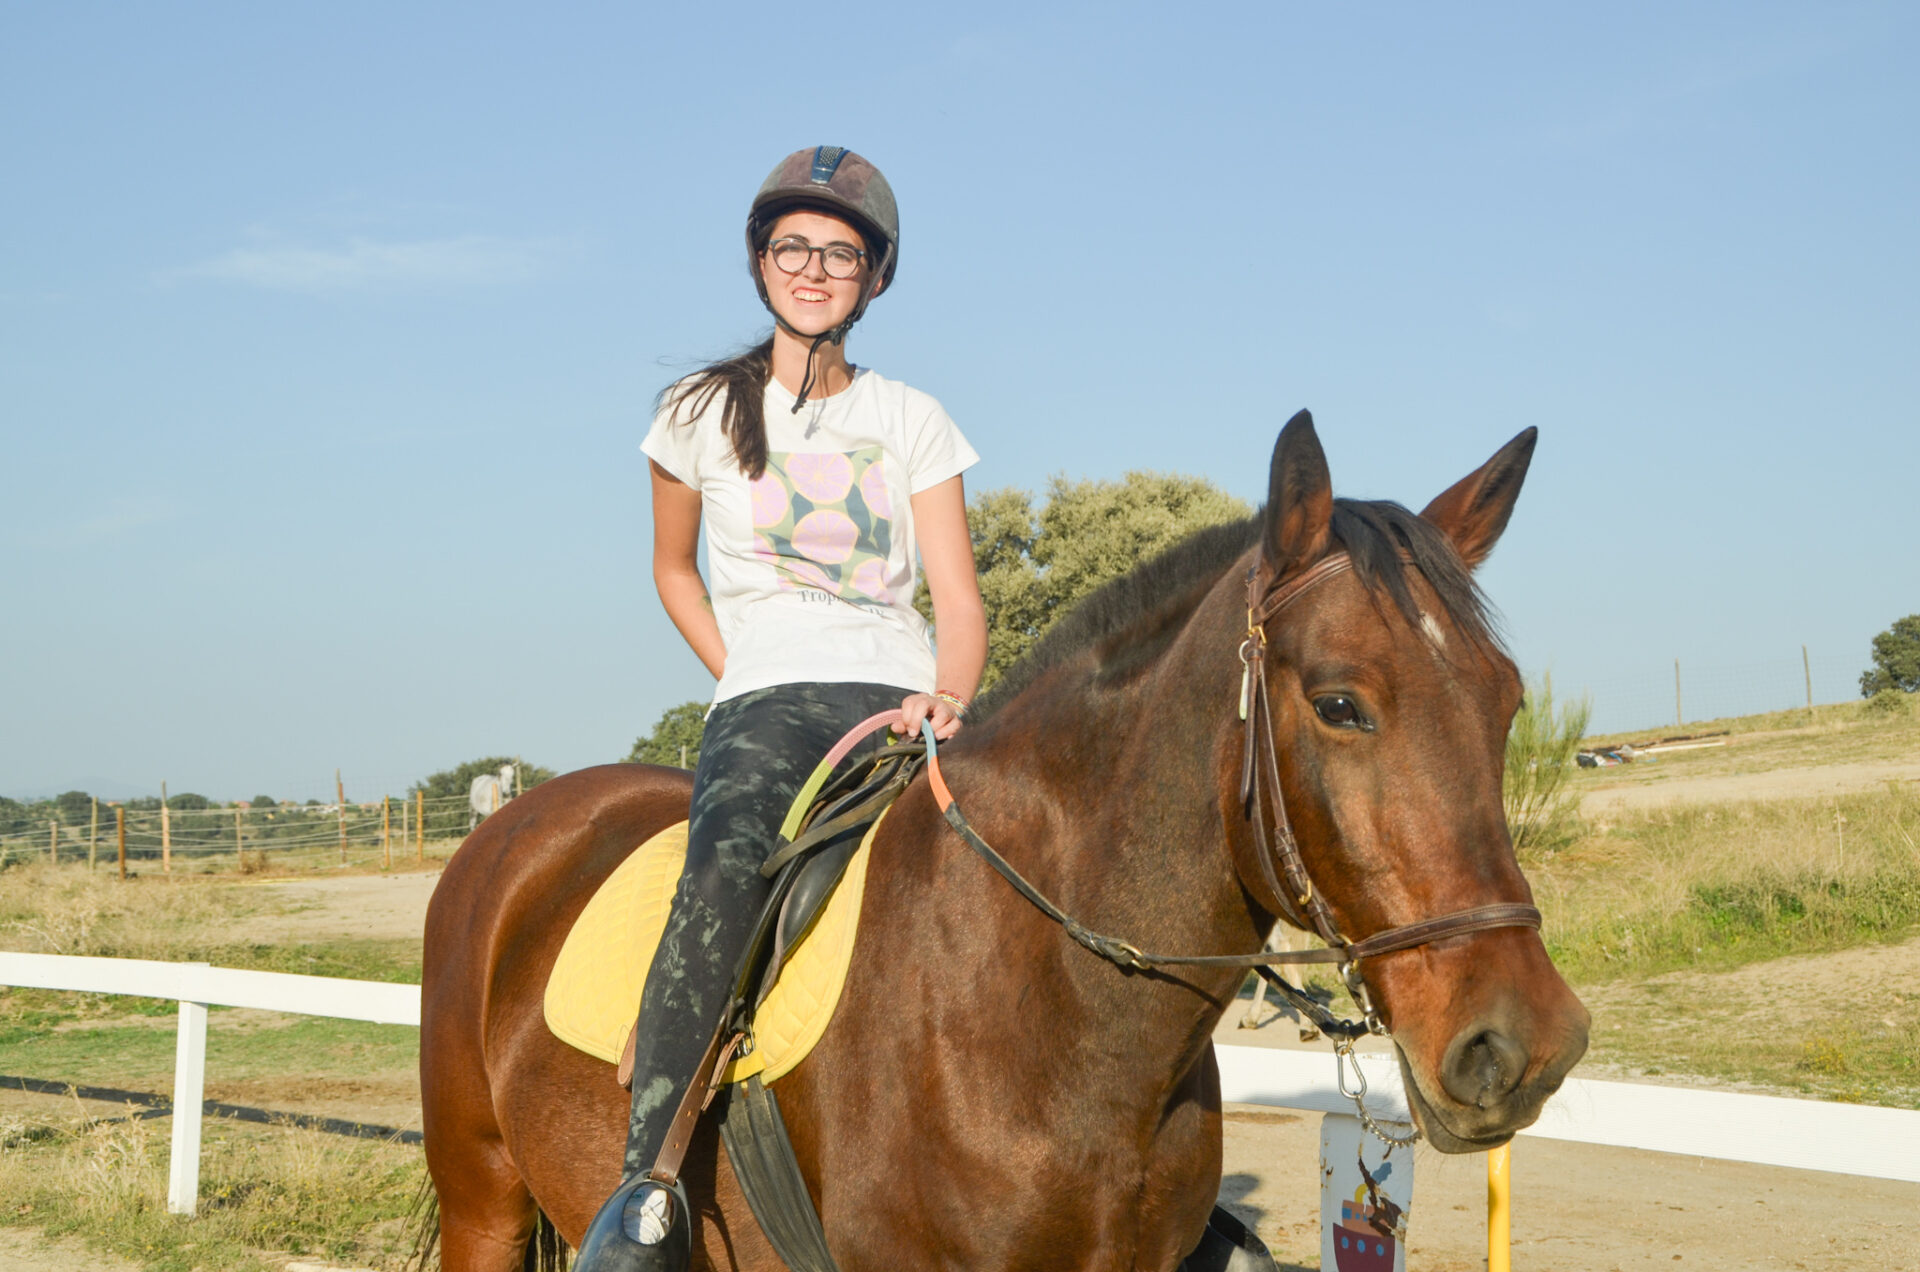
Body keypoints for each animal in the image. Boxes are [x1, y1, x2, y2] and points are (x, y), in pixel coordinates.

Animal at [420, 418, 1589, 1272]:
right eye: (1342, 704)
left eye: (1505, 702)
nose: (1525, 1045)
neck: (1047, 1014)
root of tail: (515, 825)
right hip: (483, 1201)